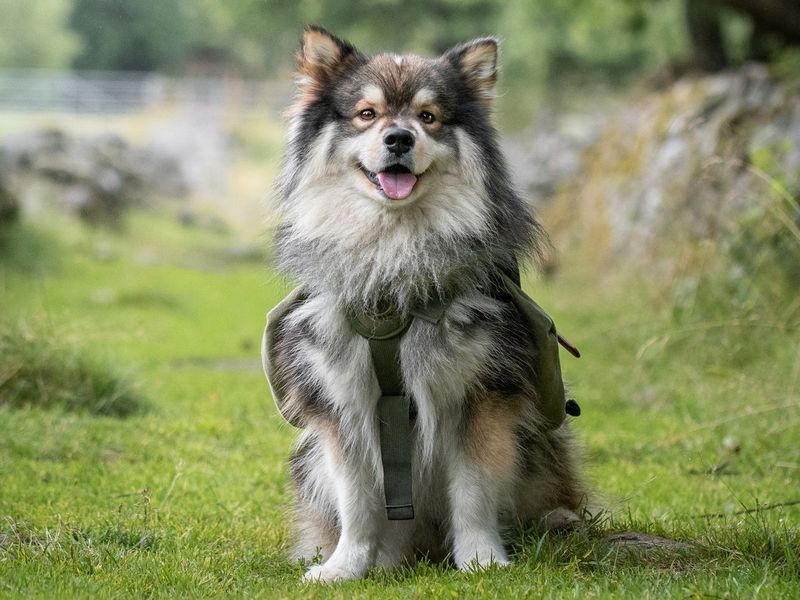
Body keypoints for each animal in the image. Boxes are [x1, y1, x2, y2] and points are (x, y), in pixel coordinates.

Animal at [266, 27, 584, 580]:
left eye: (429, 116)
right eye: (367, 113)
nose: (399, 138)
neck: (394, 267)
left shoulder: (480, 395)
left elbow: (473, 490)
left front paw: (481, 559)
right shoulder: (342, 402)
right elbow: (357, 499)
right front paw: (346, 566)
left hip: (541, 444)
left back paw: (558, 522)